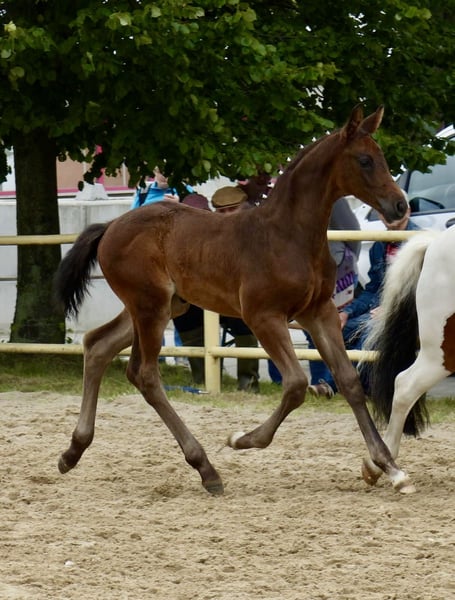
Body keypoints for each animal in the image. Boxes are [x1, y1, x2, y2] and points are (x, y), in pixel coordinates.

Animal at [54, 105, 410, 496]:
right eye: (364, 160)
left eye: (382, 158)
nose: (400, 205)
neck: (289, 235)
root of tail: (110, 227)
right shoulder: (263, 317)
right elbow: (296, 385)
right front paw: (241, 439)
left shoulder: (321, 313)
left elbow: (349, 382)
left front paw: (389, 467)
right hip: (150, 306)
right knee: (144, 374)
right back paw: (206, 468)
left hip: (162, 306)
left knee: (98, 345)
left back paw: (72, 451)